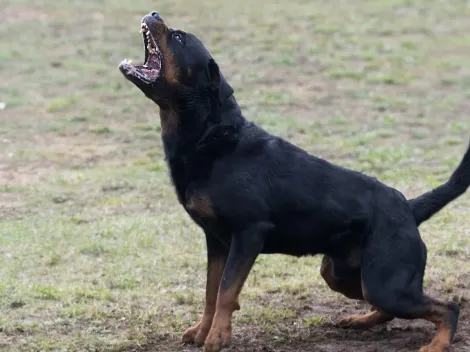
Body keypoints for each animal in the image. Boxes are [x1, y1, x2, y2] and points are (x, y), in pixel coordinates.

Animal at [118, 11, 470, 352]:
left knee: (447, 308)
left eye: (178, 38)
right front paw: (202, 332)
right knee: (386, 307)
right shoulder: (215, 241)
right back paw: (359, 321)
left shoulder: (248, 234)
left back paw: (436, 345)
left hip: (385, 281)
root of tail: (408, 208)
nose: (153, 12)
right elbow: (210, 292)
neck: (210, 136)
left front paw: (217, 337)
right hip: (343, 274)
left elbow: (226, 292)